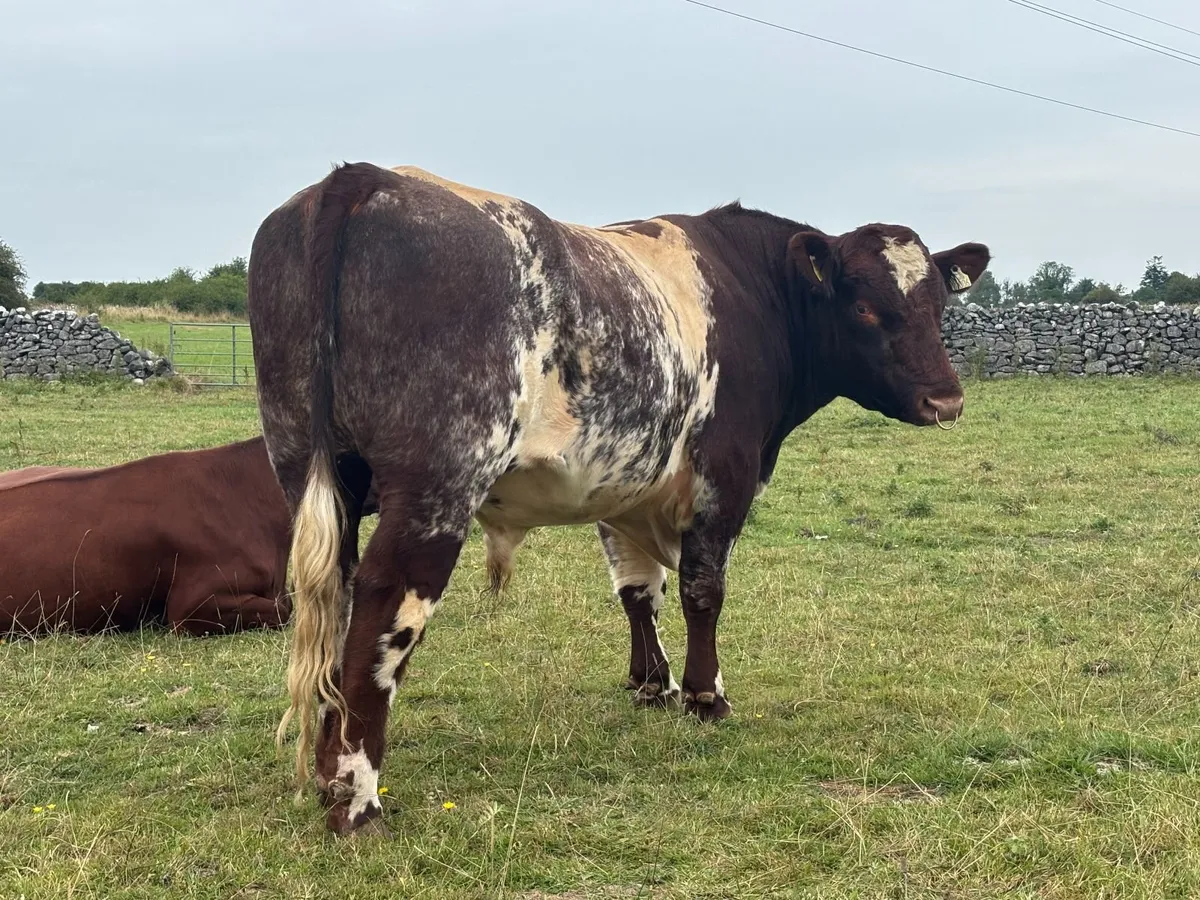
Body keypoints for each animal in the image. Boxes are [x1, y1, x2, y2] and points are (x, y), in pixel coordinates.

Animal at [247, 162, 990, 835]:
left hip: (308, 469)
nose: (946, 401)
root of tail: (367, 177)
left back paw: (326, 774)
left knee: (335, 599)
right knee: (385, 608)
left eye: (939, 307)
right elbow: (702, 590)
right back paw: (357, 798)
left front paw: (650, 684)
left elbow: (638, 590)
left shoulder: (625, 486)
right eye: (864, 307)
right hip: (438, 483)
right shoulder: (722, 477)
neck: (754, 291)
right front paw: (704, 695)